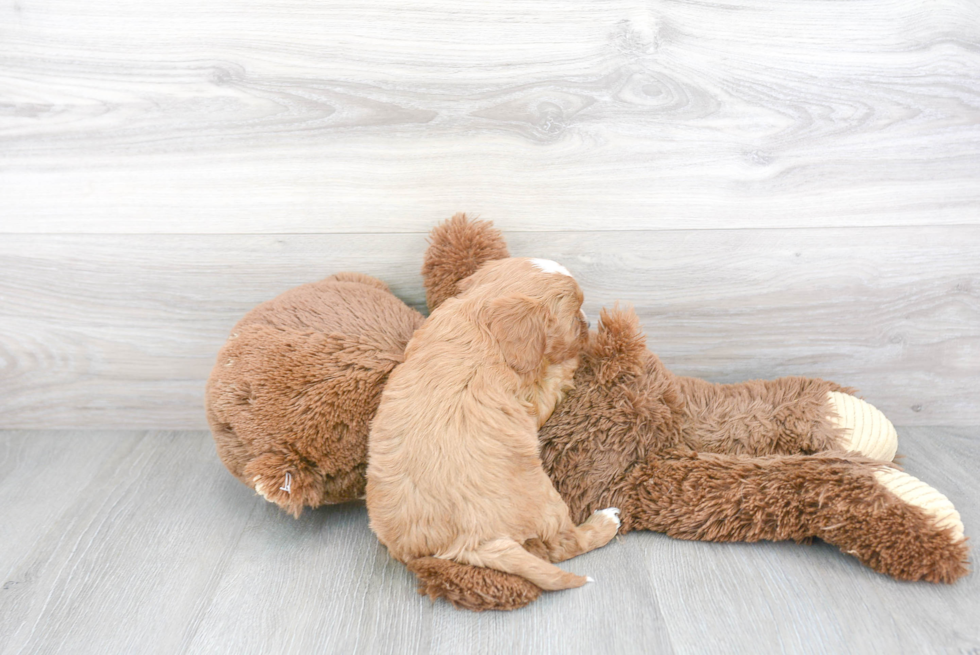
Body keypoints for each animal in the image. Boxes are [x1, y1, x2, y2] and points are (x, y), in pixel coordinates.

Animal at [364, 258, 624, 592]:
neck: (478, 319)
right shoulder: (531, 399)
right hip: (546, 500)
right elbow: (554, 379)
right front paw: (574, 360)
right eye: (573, 311)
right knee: (564, 545)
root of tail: (468, 543)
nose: (588, 324)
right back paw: (605, 522)